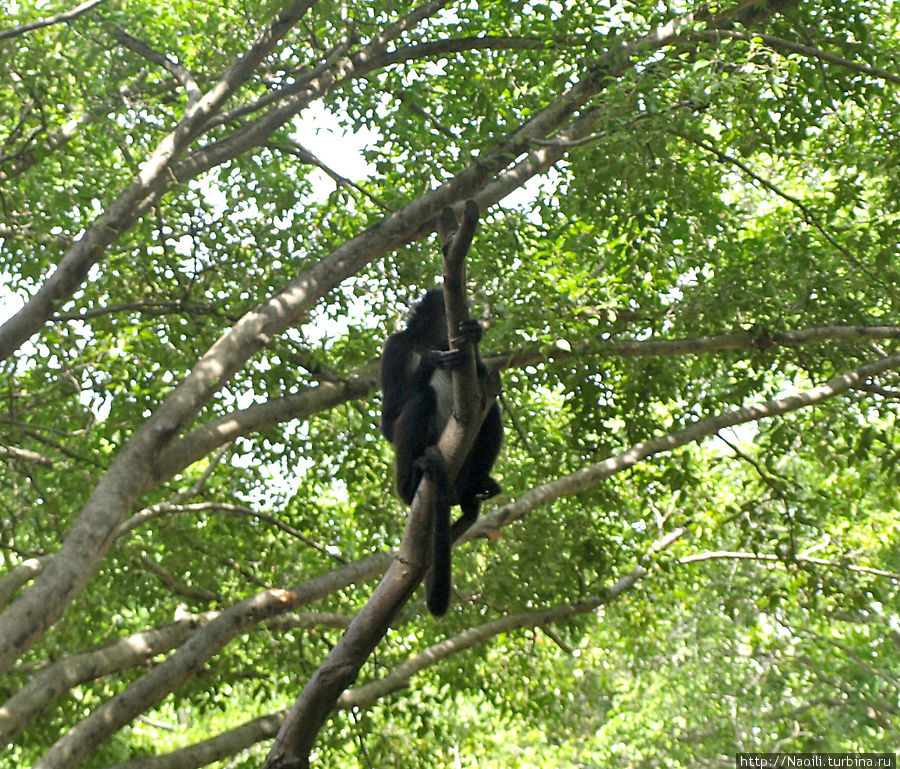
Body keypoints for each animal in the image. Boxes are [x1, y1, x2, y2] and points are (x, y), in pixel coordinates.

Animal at [380, 288, 502, 616]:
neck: (428, 340)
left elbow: (483, 379)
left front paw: (475, 334)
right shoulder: (394, 346)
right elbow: (388, 422)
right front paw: (429, 362)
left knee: (491, 408)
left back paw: (478, 485)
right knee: (421, 399)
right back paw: (410, 487)